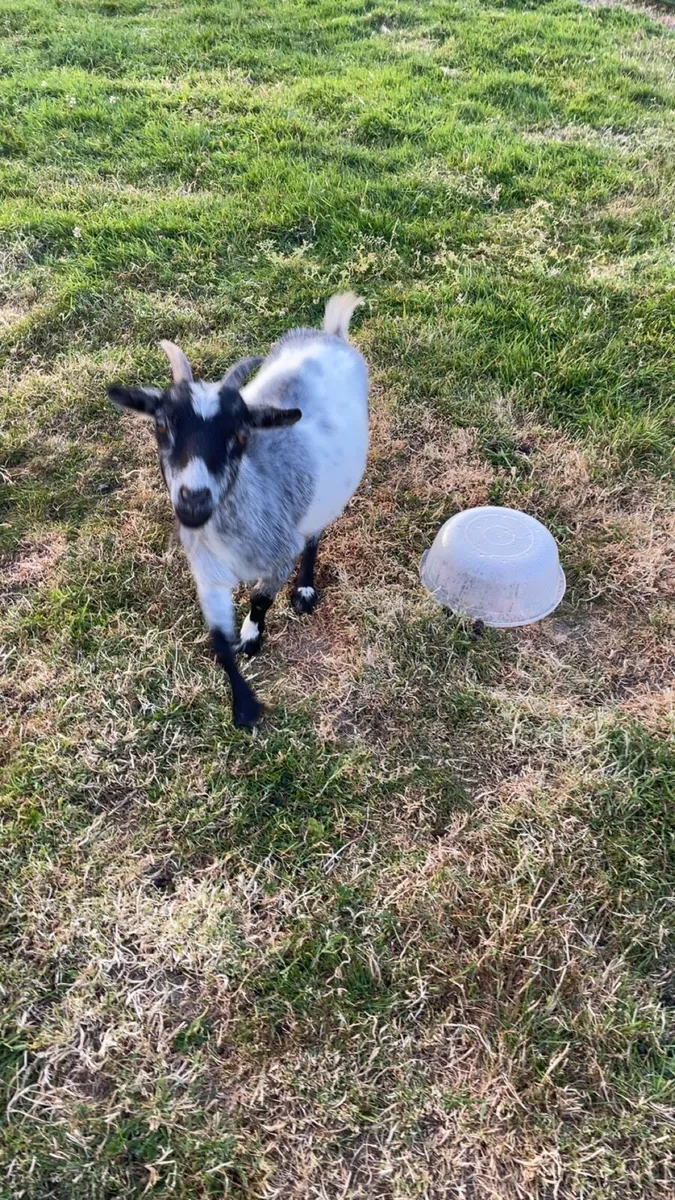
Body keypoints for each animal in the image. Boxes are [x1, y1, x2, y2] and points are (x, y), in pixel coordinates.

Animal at [108, 293, 368, 729]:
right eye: (161, 426)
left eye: (241, 434)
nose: (194, 500)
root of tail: (330, 335)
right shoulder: (208, 575)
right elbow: (218, 641)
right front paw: (244, 705)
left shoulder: (279, 556)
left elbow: (260, 600)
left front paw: (251, 637)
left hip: (330, 495)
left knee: (315, 535)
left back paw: (305, 589)